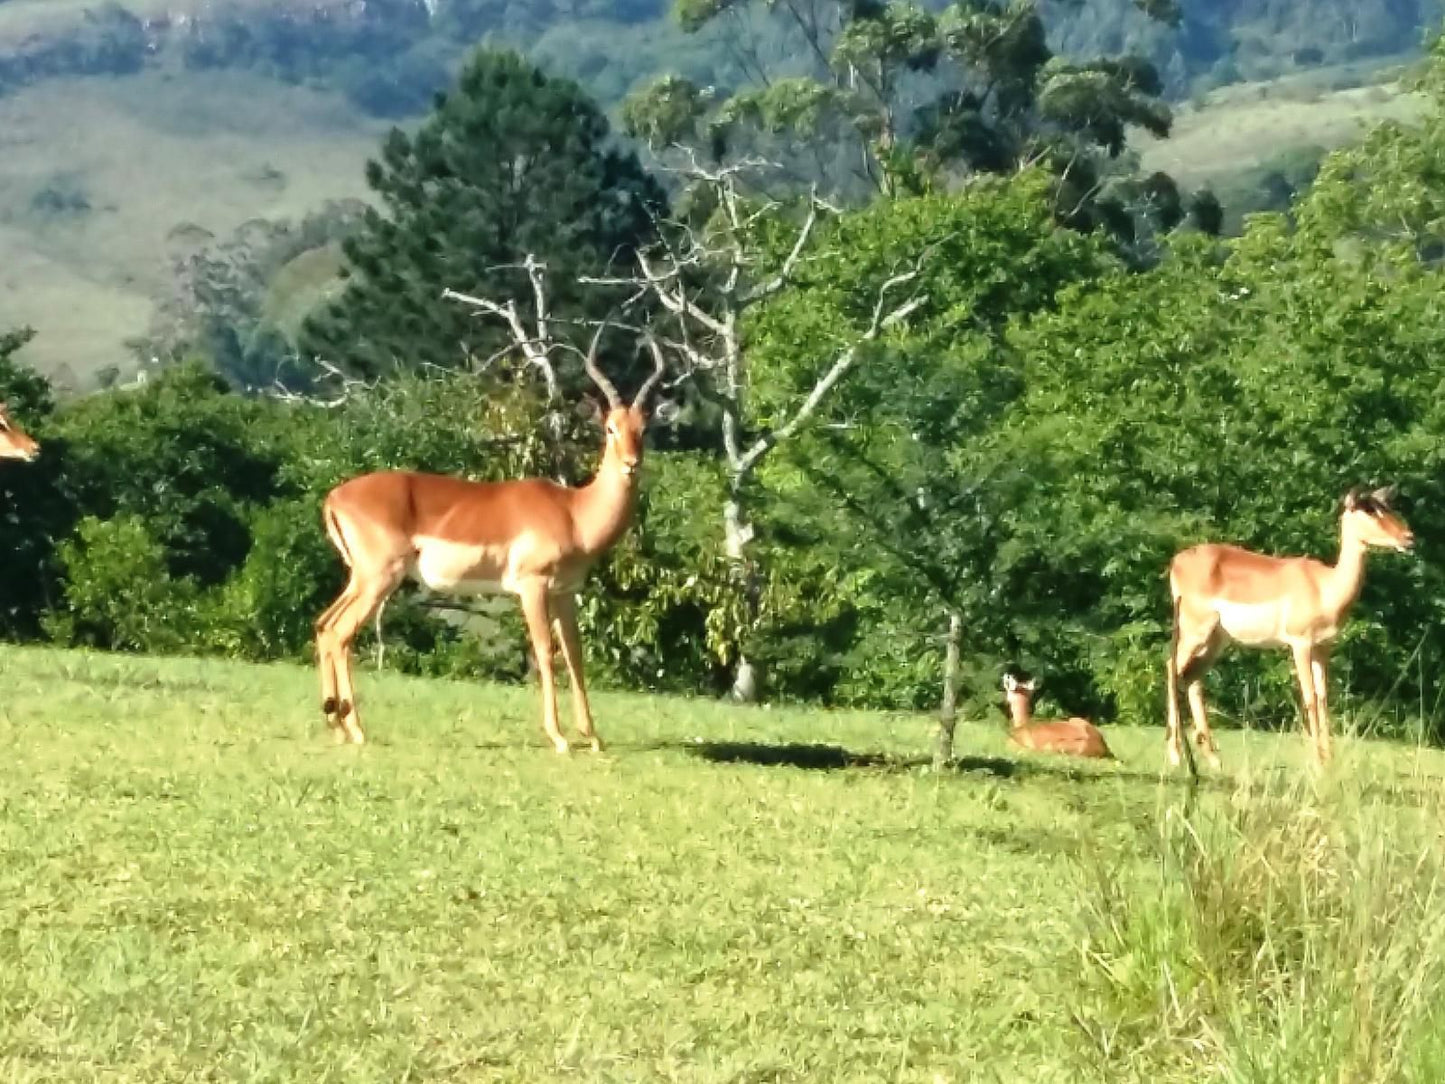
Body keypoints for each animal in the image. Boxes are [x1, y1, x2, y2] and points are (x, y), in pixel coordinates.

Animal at [316, 329, 664, 757]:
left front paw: (593, 736)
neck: (573, 511)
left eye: (642, 429)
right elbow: (545, 652)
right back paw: (357, 730)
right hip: (379, 579)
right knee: (340, 633)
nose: (632, 464)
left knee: (324, 626)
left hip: (360, 578)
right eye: (610, 428)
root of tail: (335, 497)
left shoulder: (565, 592)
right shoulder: (532, 586)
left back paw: (337, 724)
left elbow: (574, 653)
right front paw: (559, 737)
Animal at [1161, 482, 1410, 774]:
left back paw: (1213, 759)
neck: (1324, 586)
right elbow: (1310, 697)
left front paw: (1329, 760)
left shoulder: (1322, 647)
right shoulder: (1300, 643)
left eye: (1387, 507)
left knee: (1192, 677)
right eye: (1369, 511)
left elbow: (1323, 698)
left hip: (1216, 639)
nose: (1408, 537)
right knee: (1171, 666)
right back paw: (1175, 755)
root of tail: (1177, 560)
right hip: (1194, 630)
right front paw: (1318, 762)